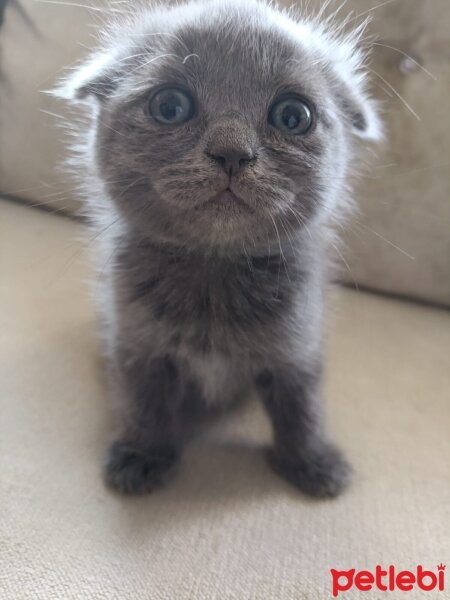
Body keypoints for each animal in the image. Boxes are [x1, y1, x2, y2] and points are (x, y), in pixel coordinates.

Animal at [56, 0, 380, 496]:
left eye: (293, 116)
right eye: (169, 106)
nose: (232, 152)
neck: (213, 277)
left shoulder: (297, 344)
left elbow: (301, 405)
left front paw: (313, 461)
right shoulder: (136, 340)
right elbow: (144, 400)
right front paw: (141, 454)